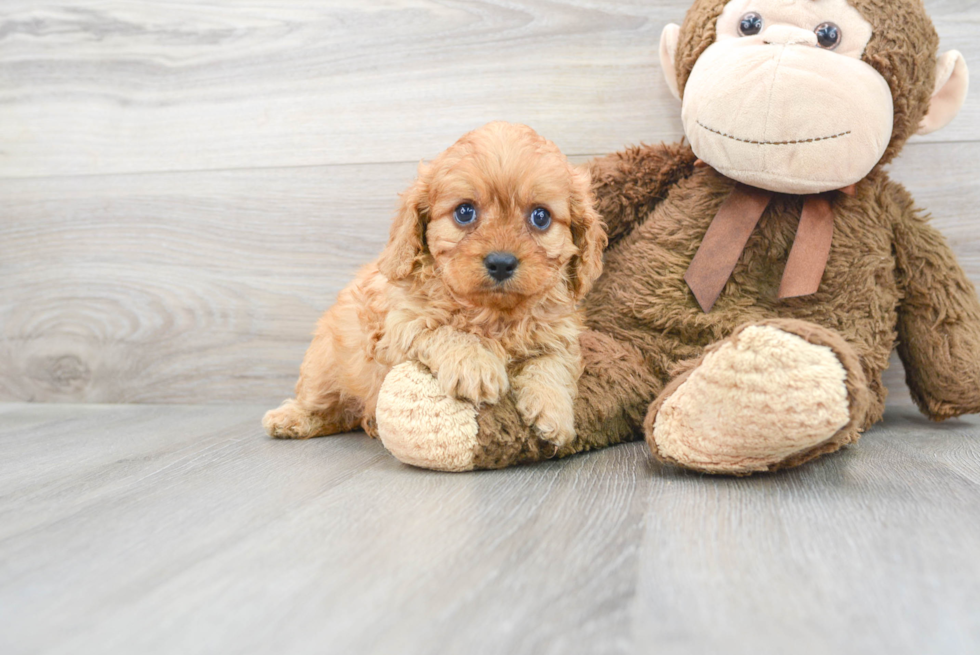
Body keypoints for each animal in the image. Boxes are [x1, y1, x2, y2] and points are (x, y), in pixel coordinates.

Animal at [264, 122, 608, 448]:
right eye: (465, 212)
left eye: (541, 217)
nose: (501, 262)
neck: (492, 314)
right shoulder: (399, 327)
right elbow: (446, 331)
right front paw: (475, 365)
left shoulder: (560, 335)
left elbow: (551, 364)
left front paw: (554, 412)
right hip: (323, 366)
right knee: (322, 403)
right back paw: (290, 418)